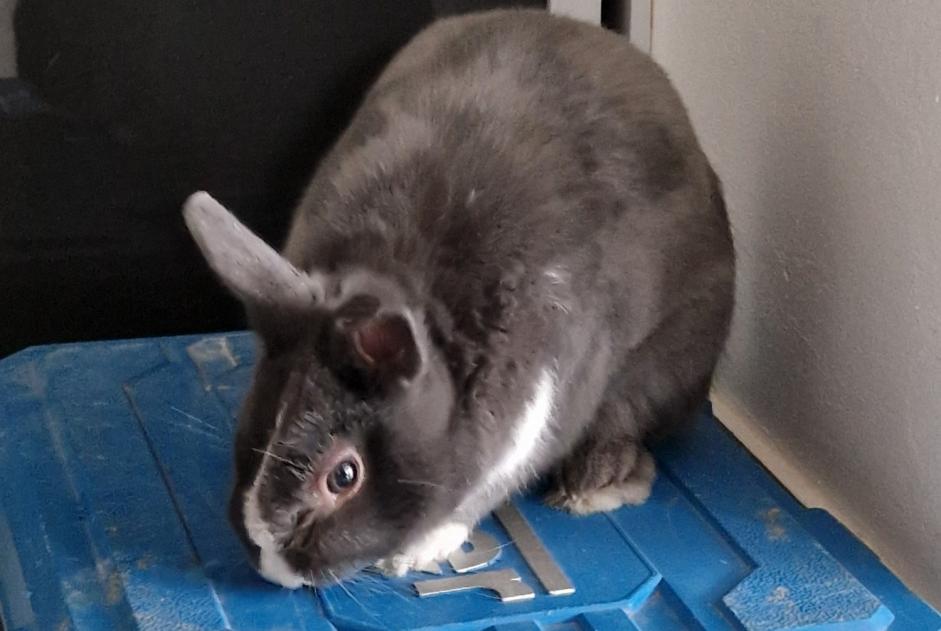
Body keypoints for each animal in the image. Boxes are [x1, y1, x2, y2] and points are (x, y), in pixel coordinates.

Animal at [183, 8, 734, 589]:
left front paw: (415, 553)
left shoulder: (542, 406)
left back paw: (593, 484)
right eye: (255, 415)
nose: (271, 563)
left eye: (344, 476)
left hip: (674, 356)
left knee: (628, 416)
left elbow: (485, 485)